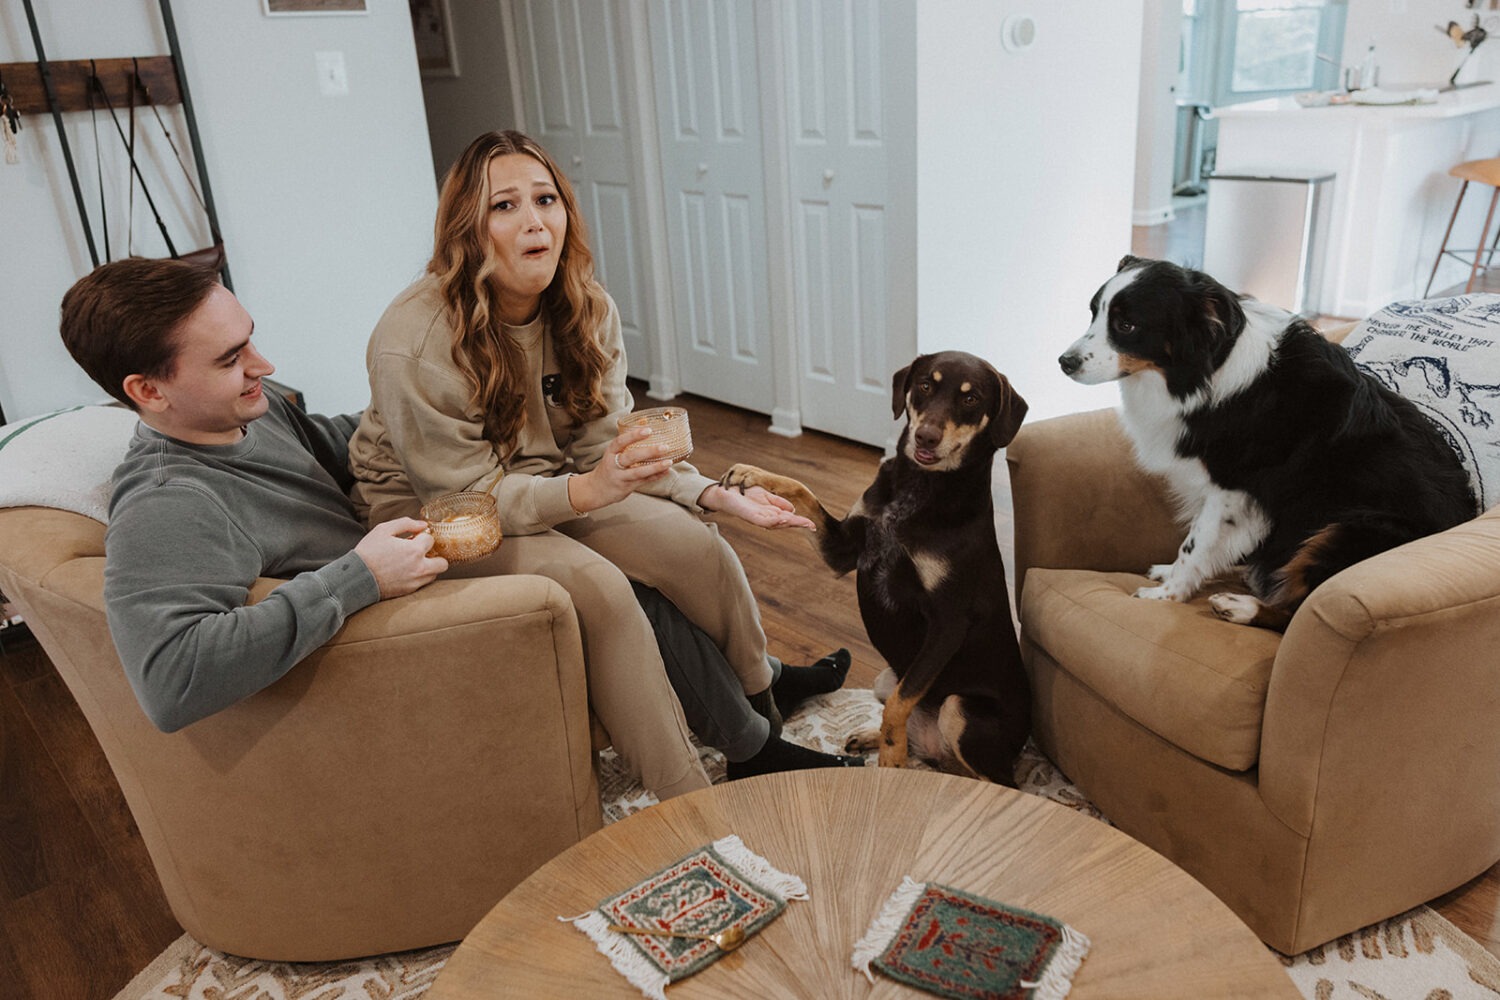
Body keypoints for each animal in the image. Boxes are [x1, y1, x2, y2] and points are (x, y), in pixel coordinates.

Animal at [717, 355, 1032, 785]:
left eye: (972, 399)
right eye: (925, 385)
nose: (926, 438)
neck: (918, 488)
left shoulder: (948, 623)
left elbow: (899, 704)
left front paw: (891, 758)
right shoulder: (843, 550)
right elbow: (801, 489)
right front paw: (752, 474)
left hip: (959, 709)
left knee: (988, 778)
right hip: (886, 676)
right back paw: (869, 737)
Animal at [1062, 257, 1470, 632]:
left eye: (1126, 325)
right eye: (1094, 313)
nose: (1064, 362)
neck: (1205, 371)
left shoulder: (1232, 488)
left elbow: (1195, 542)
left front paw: (1168, 594)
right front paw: (1170, 574)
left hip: (1350, 527)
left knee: (1297, 612)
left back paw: (1241, 606)